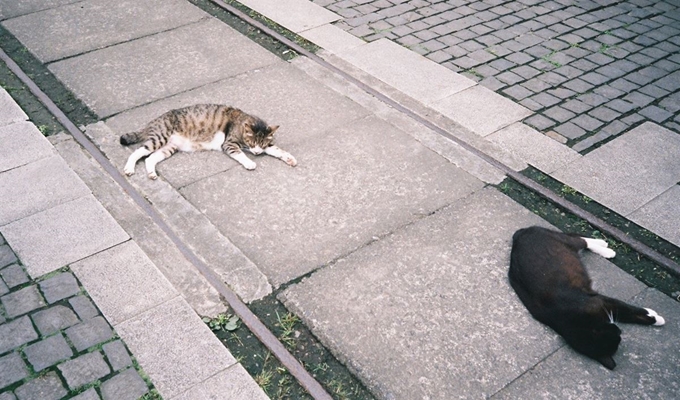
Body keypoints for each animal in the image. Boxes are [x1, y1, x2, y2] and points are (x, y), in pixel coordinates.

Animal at [121, 104, 296, 179]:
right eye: (253, 143)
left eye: (262, 145)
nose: (258, 153)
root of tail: (152, 122)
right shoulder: (229, 143)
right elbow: (239, 153)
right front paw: (249, 162)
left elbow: (276, 150)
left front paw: (289, 158)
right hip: (160, 137)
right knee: (138, 152)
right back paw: (129, 168)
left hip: (169, 148)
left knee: (150, 158)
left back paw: (151, 173)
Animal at [510, 227, 664, 370]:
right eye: (616, 336)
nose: (620, 331)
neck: (575, 320)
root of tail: (520, 233)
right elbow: (628, 313)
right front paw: (655, 318)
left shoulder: (602, 301)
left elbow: (628, 310)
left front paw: (656, 318)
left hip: (564, 241)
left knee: (581, 240)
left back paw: (604, 247)